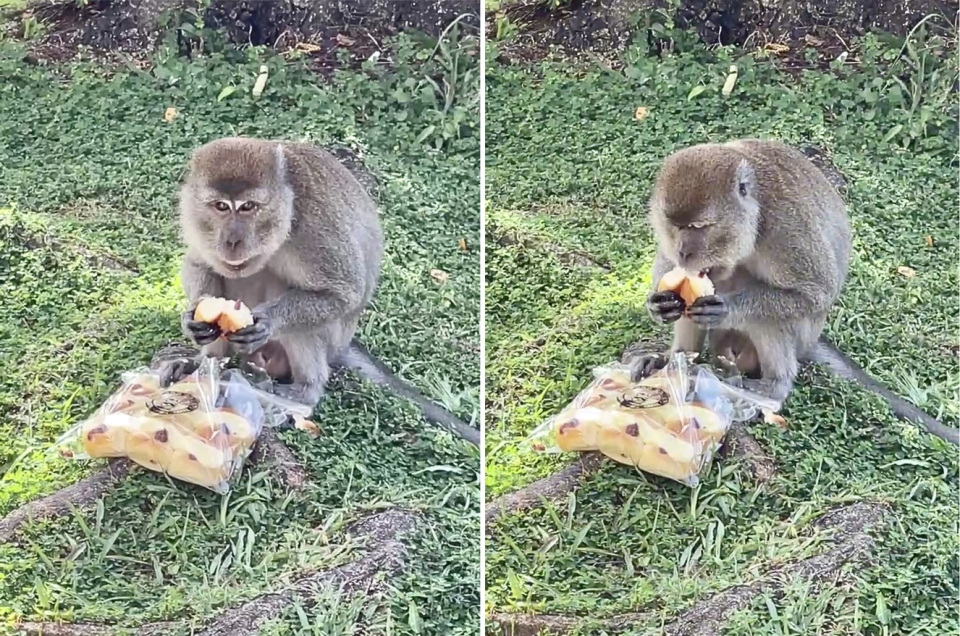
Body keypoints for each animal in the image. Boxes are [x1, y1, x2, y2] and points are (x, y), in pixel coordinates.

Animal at [161, 138, 484, 448]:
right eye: (220, 207)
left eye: (248, 207)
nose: (232, 241)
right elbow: (199, 263)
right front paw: (193, 317)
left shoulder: (314, 228)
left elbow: (343, 295)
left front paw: (269, 321)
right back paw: (205, 365)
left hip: (331, 338)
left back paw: (305, 391)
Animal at [632, 139, 960, 448]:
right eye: (675, 226)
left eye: (700, 226)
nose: (684, 252)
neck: (754, 216)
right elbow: (667, 263)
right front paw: (658, 303)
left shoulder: (785, 228)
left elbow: (815, 294)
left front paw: (727, 307)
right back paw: (673, 362)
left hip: (800, 335)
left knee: (771, 318)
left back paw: (773, 386)